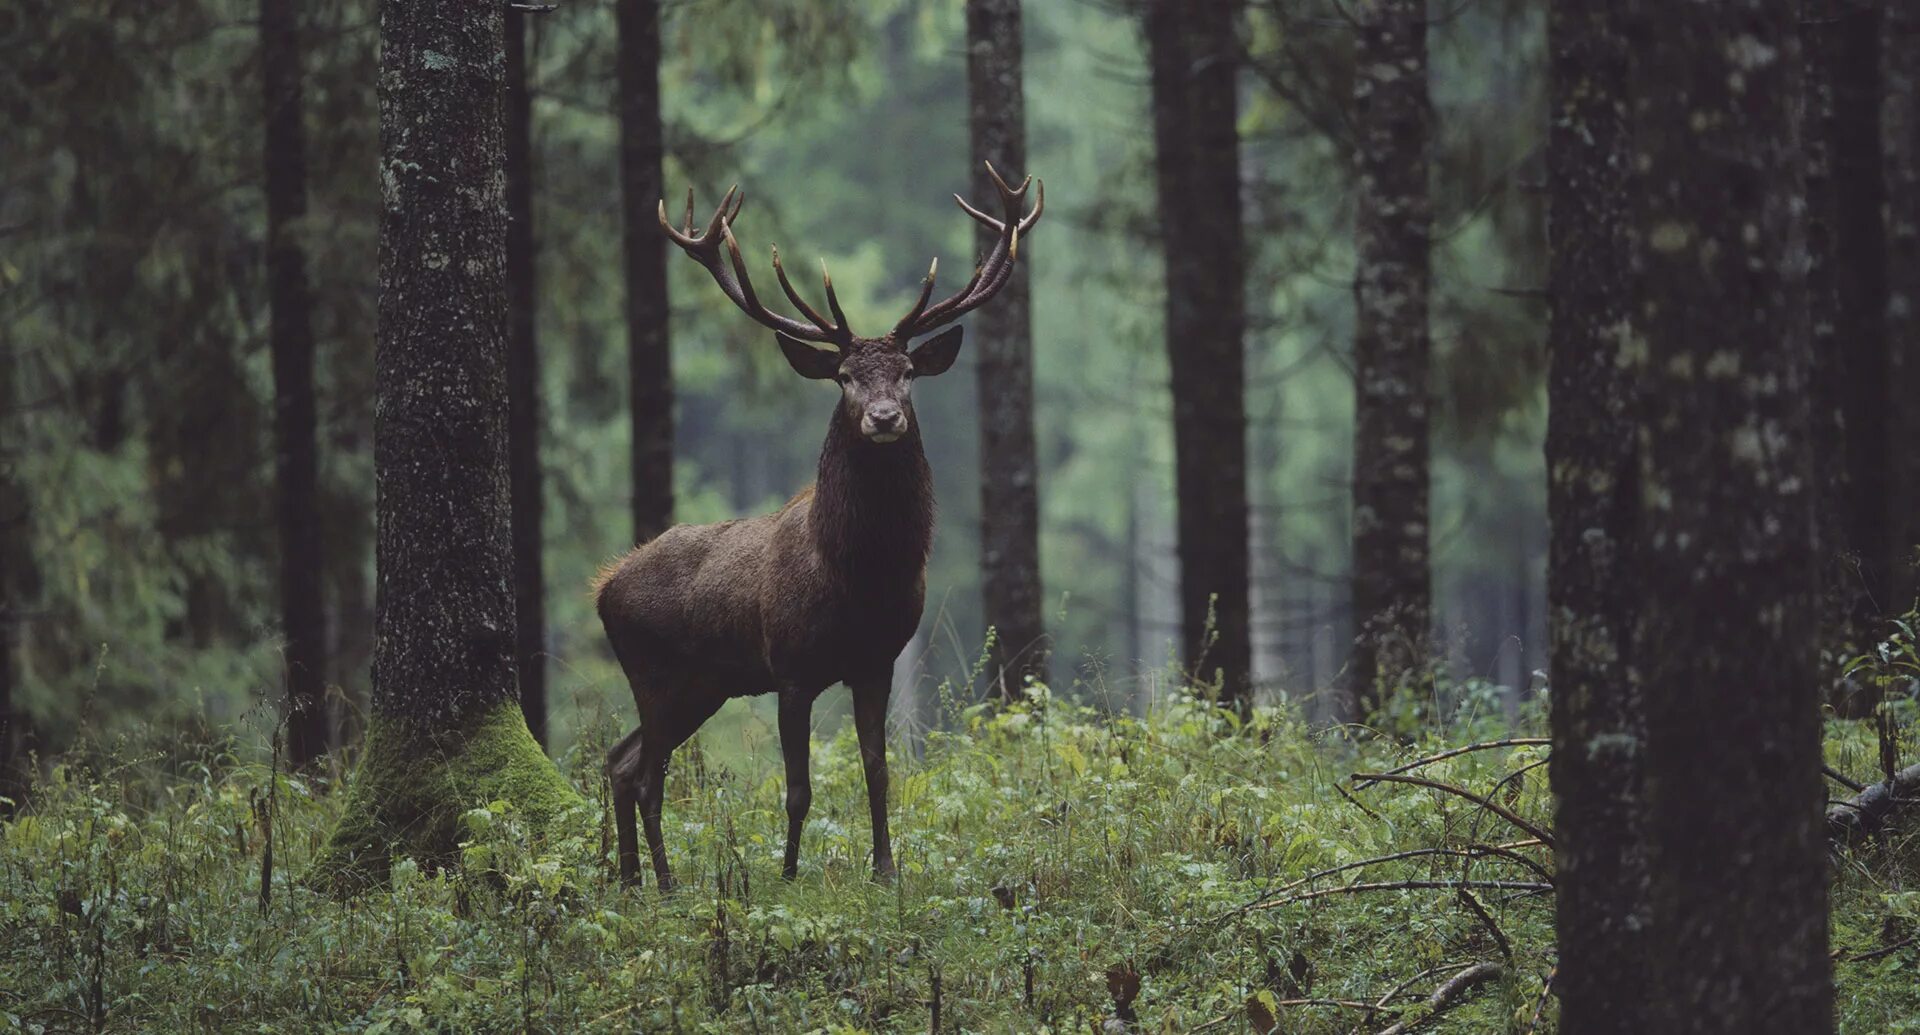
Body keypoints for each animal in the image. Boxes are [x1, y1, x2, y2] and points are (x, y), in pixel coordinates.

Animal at [599, 164, 1052, 890]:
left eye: (908, 372)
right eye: (843, 376)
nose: (884, 417)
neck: (857, 577)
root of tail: (604, 587)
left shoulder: (877, 661)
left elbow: (879, 771)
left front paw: (886, 869)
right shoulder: (790, 667)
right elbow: (797, 787)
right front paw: (787, 875)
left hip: (703, 684)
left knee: (621, 760)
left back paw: (635, 881)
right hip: (656, 672)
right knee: (644, 774)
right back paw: (664, 884)